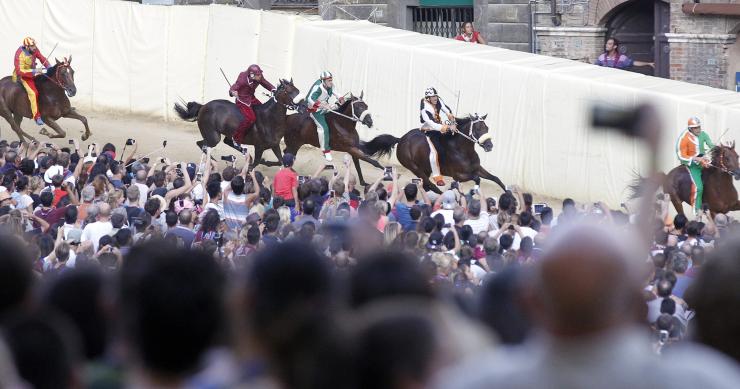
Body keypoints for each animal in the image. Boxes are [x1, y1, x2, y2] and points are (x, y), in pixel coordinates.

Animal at [360, 113, 508, 194]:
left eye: (486, 128)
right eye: (477, 129)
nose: (489, 145)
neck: (463, 150)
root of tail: (401, 139)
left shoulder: (477, 168)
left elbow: (496, 178)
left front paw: (509, 194)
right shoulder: (459, 176)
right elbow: (477, 179)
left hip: (426, 168)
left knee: (426, 186)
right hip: (414, 168)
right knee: (429, 185)